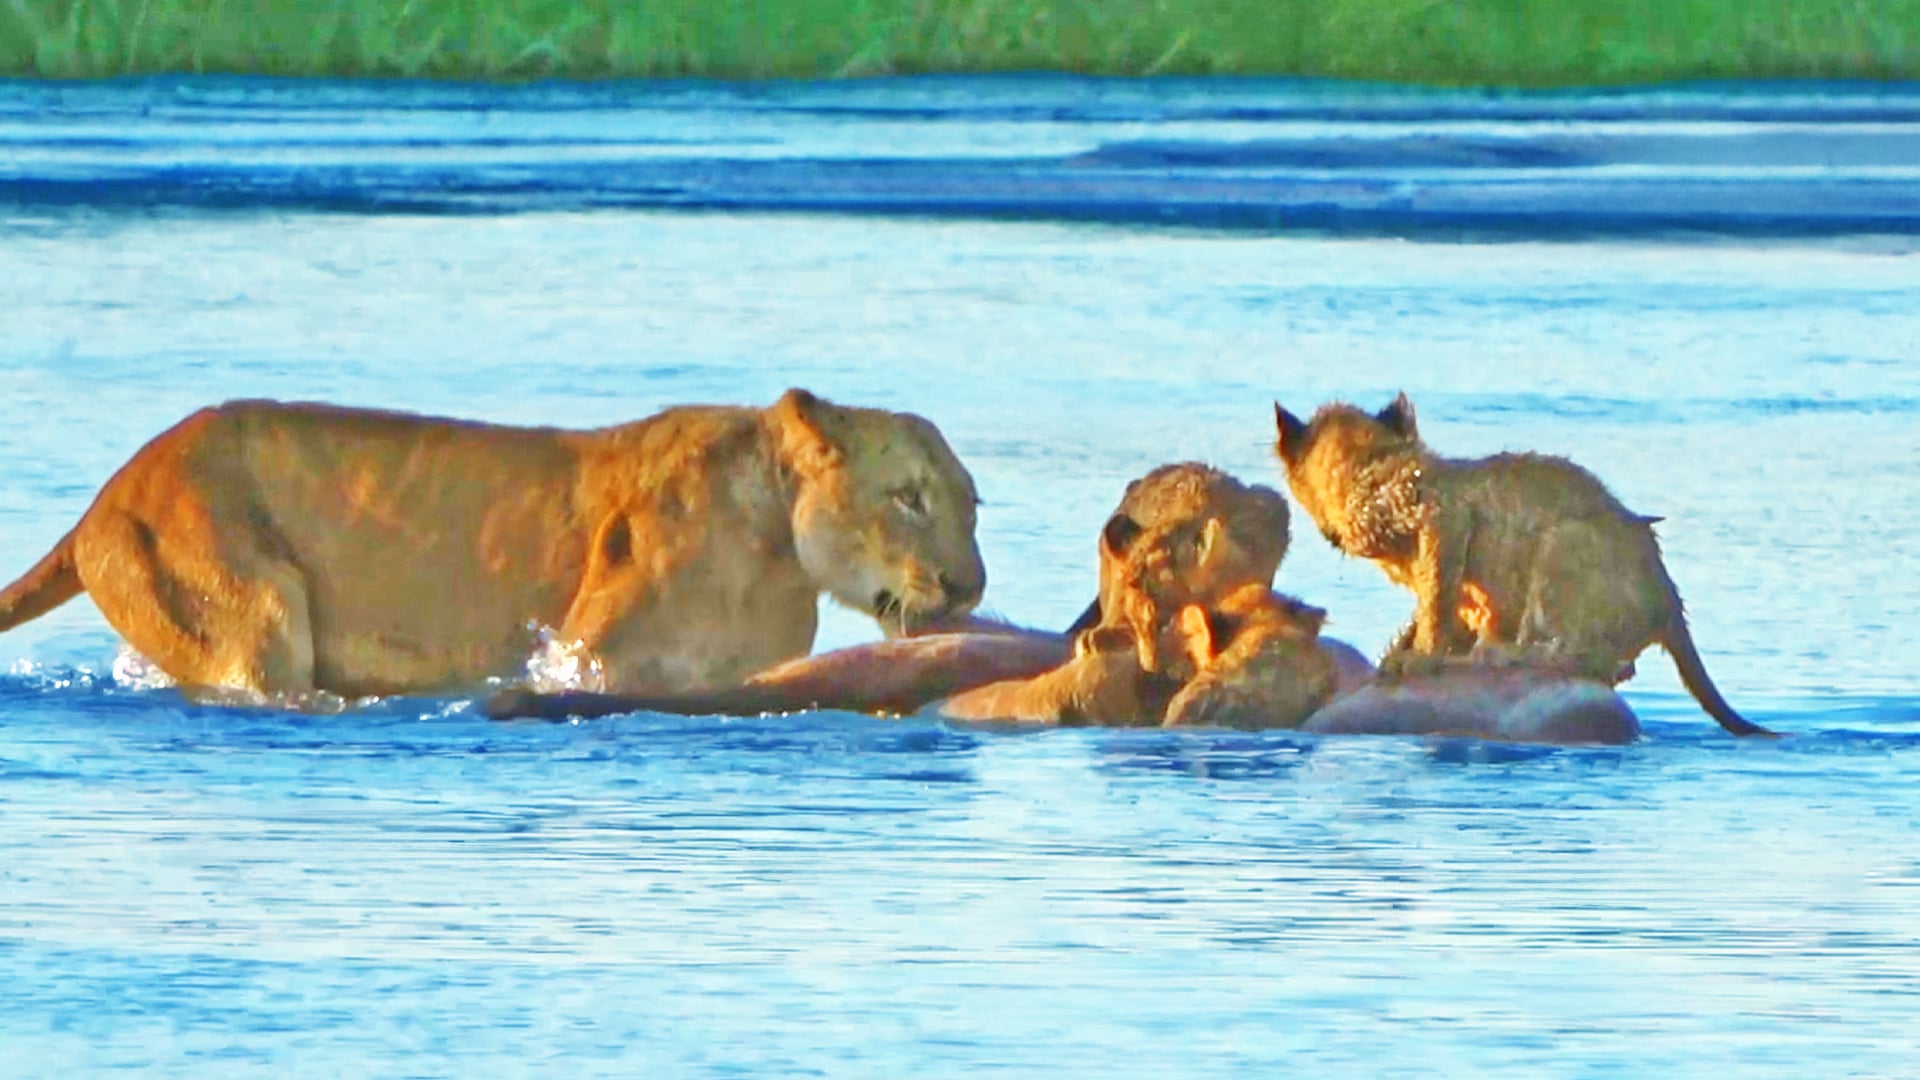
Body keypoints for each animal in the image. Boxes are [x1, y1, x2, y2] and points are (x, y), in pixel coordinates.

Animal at [0, 389, 987, 701]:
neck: (778, 550)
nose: (968, 589)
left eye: (972, 506)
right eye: (907, 498)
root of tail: (102, 501)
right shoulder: (594, 655)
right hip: (245, 608)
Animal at [1272, 392, 1772, 738]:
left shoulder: (1445, 516)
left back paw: (1499, 655)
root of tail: (1667, 600)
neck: (1370, 460)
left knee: (1590, 658)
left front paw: (1417, 659)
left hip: (1564, 544)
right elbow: (1440, 604)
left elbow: (1435, 599)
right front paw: (1402, 652)